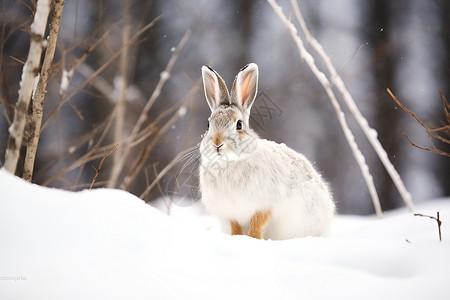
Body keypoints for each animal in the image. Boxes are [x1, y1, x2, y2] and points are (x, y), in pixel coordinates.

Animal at [198, 62, 334, 239]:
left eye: (239, 124)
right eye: (208, 124)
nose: (217, 143)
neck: (231, 162)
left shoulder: (265, 204)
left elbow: (258, 223)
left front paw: (254, 239)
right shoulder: (231, 213)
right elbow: (235, 227)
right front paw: (236, 238)